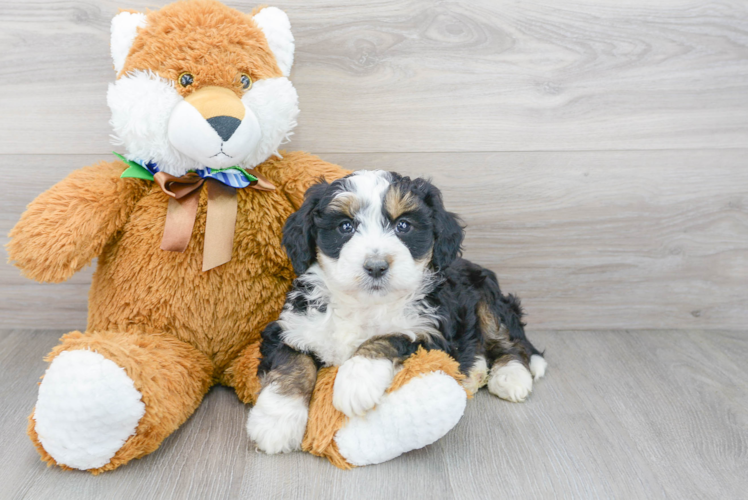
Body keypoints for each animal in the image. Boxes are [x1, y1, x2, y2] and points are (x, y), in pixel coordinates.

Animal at [248, 171, 548, 454]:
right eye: (345, 226)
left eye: (403, 225)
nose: (376, 266)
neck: (364, 304)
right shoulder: (290, 326)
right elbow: (293, 364)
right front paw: (275, 421)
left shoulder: (433, 332)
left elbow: (390, 336)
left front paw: (356, 380)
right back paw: (476, 373)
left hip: (487, 297)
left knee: (508, 341)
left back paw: (511, 376)